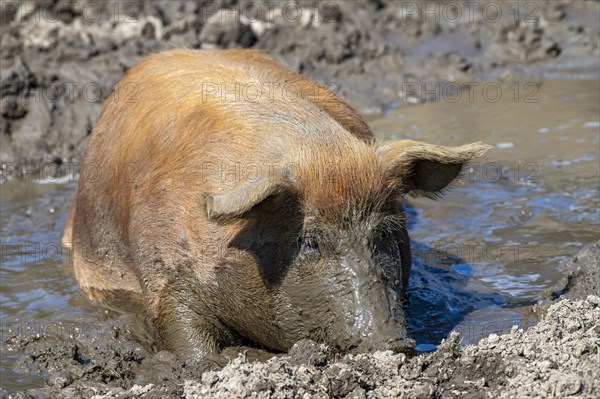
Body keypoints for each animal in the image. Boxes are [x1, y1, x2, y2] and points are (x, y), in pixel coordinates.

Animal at [62, 49, 492, 360]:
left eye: (384, 233)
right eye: (311, 241)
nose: (396, 344)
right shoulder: (164, 267)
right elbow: (182, 329)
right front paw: (209, 364)